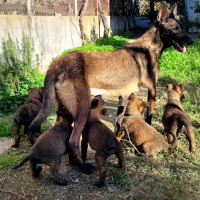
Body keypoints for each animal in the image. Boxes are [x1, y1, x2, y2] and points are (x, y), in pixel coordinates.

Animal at [27, 3, 193, 171]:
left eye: (181, 27)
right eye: (175, 29)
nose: (191, 41)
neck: (147, 48)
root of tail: (57, 62)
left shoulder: (124, 96)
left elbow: (118, 123)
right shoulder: (152, 91)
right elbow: (149, 117)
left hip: (63, 112)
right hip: (82, 111)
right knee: (73, 141)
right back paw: (84, 167)